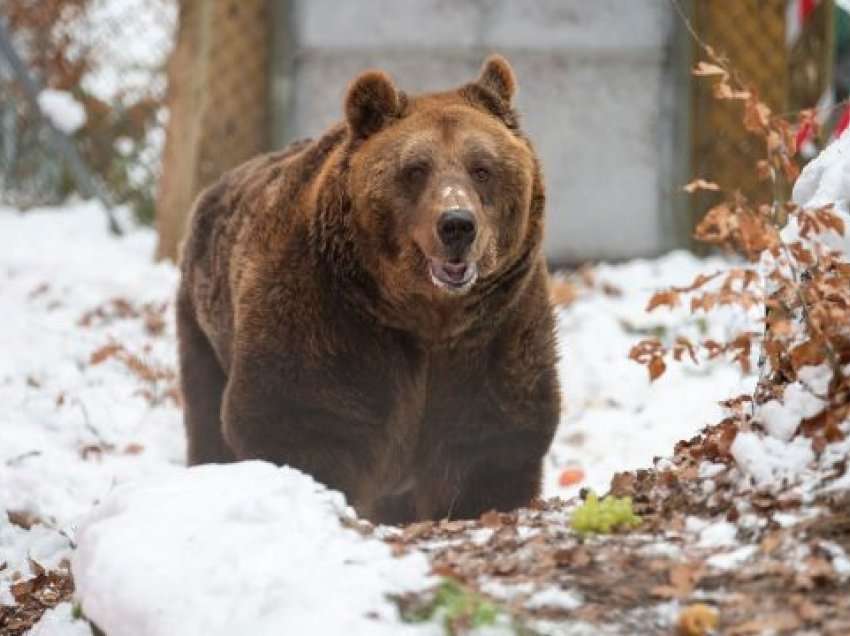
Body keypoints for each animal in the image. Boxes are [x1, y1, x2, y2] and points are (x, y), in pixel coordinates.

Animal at [176, 54, 560, 524]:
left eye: (482, 169)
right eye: (415, 169)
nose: (456, 224)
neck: (426, 315)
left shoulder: (496, 327)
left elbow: (490, 439)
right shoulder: (329, 320)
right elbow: (298, 419)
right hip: (204, 326)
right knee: (206, 415)